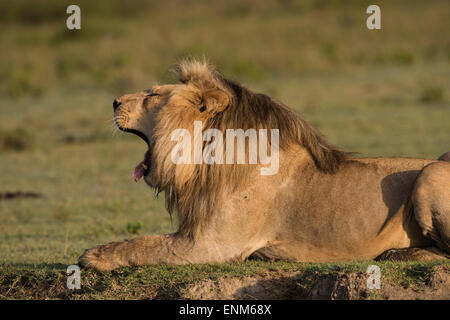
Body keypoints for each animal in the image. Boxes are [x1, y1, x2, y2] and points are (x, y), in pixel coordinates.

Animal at [79, 59, 448, 270]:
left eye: (153, 95)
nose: (114, 101)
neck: (204, 163)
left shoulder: (210, 245)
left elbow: (144, 244)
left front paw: (94, 256)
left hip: (432, 171)